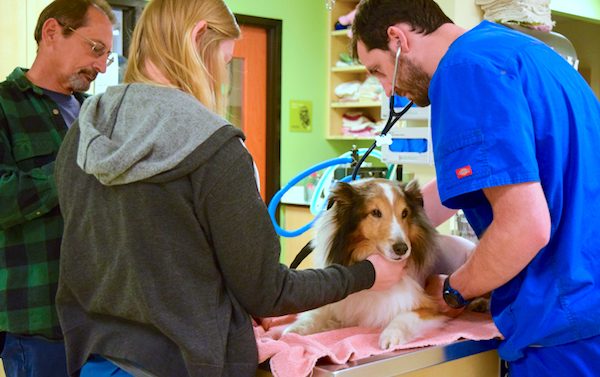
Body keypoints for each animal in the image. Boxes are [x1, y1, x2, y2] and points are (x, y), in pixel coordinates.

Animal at [284, 178, 472, 348]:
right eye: (375, 212)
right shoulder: (340, 305)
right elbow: (317, 314)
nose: (402, 249)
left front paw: (390, 336)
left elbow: (404, 317)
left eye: (404, 213)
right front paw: (294, 329)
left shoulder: (429, 306)